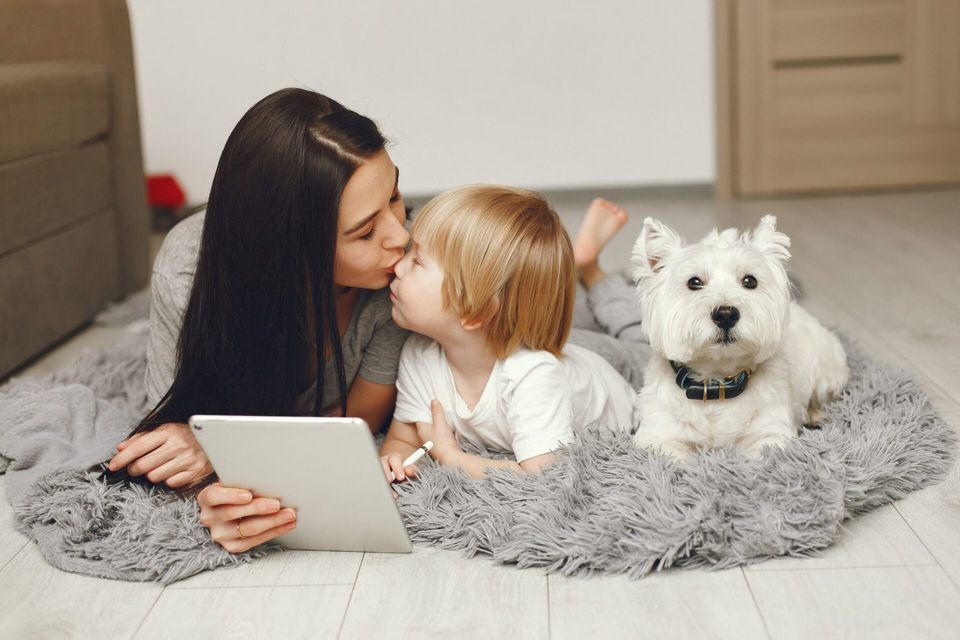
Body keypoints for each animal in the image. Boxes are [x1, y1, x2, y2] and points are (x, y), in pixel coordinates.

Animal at [632, 216, 852, 460]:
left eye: (750, 281)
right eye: (694, 282)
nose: (726, 314)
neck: (717, 382)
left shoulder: (770, 435)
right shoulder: (658, 436)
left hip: (828, 371)